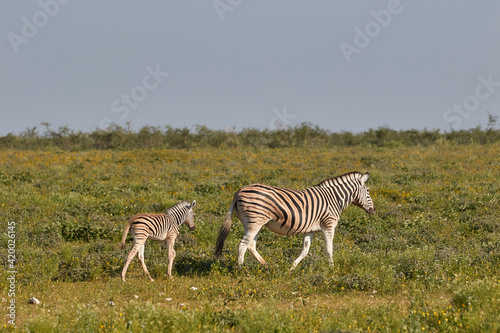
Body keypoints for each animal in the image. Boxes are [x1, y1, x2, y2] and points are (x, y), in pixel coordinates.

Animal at [214, 171, 376, 270]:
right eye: (368, 191)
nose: (374, 210)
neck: (334, 199)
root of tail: (238, 192)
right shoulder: (329, 225)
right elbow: (329, 249)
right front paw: (332, 269)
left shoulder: (311, 230)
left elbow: (305, 250)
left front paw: (292, 268)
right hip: (254, 221)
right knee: (242, 245)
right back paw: (241, 269)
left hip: (255, 223)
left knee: (251, 245)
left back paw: (266, 265)